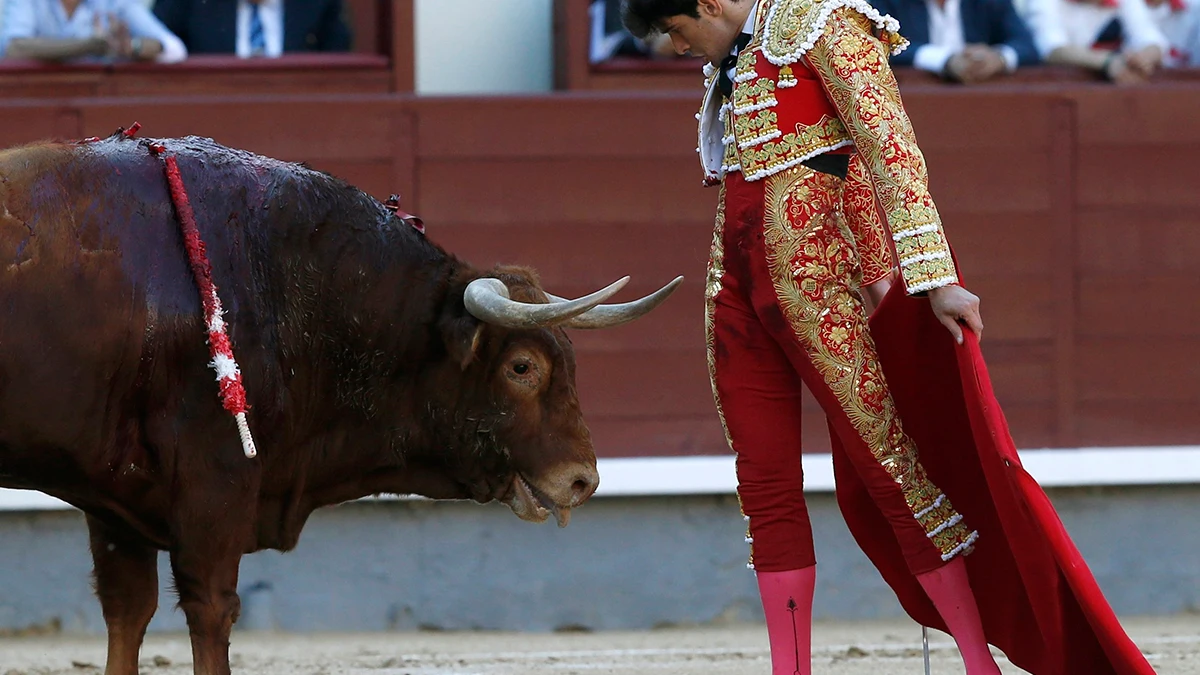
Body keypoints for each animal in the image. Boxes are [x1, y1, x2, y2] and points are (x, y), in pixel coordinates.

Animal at [0, 132, 681, 672]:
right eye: (522, 367)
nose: (583, 480)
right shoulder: (213, 489)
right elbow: (211, 612)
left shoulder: (116, 502)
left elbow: (127, 613)